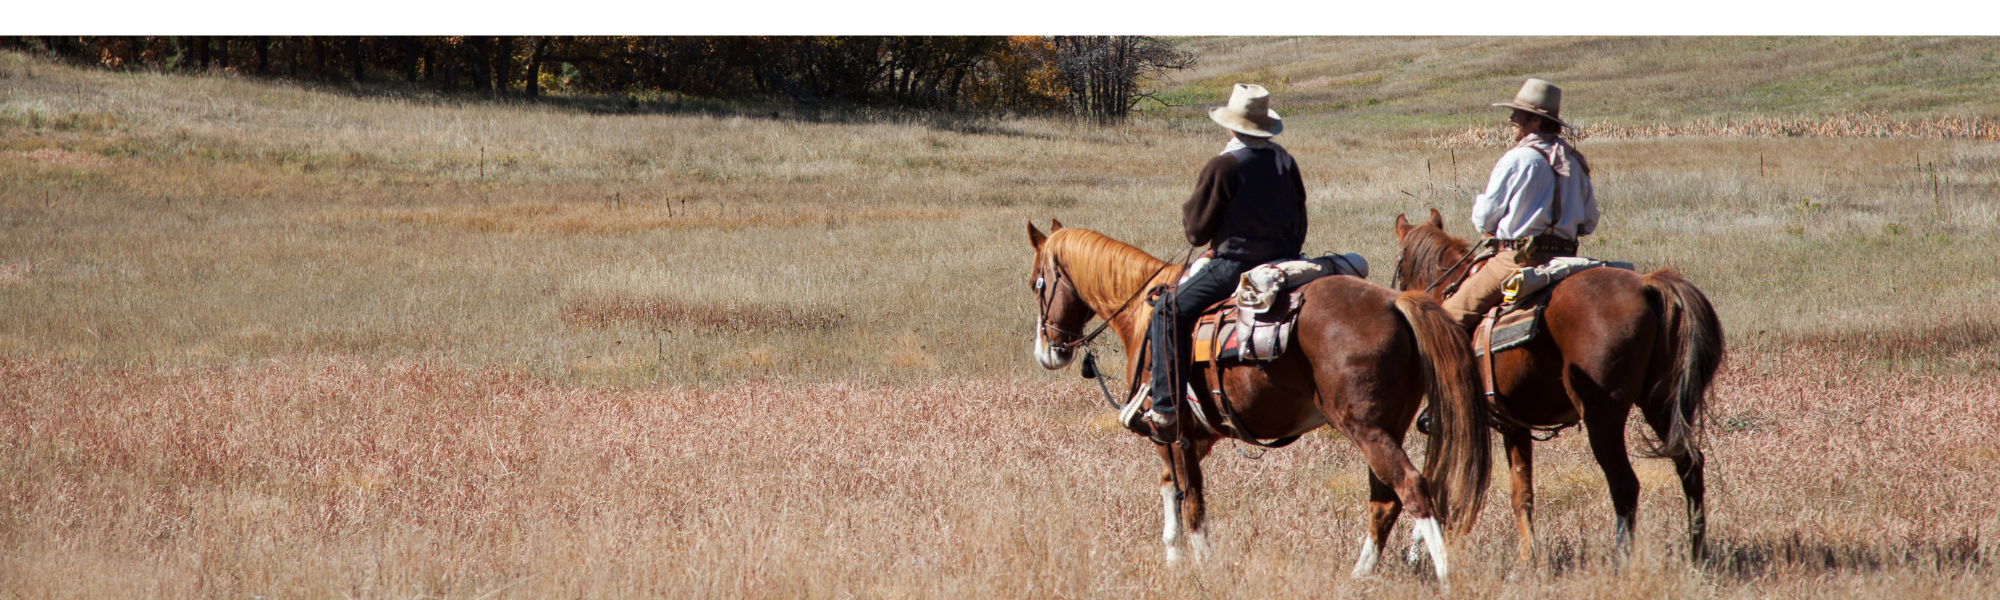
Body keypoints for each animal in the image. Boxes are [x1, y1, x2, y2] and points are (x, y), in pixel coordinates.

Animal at [1032, 221, 1488, 580]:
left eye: (1037, 281)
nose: (1048, 351)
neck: (1143, 317)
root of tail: (1395, 302)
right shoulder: (1191, 438)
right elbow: (1171, 491)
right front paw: (1174, 558)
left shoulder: (1173, 434)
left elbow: (1191, 501)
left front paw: (1201, 563)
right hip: (1387, 427)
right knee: (1385, 498)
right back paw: (1361, 573)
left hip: (1367, 429)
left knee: (1410, 487)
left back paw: (1444, 573)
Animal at [1392, 211, 1720, 568]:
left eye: (1399, 264)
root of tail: (1647, 286)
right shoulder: (1514, 425)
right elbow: (1521, 492)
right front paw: (1527, 557)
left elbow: (1435, 478)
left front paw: (1416, 551)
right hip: (1661, 404)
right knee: (1689, 465)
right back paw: (1698, 553)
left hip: (1603, 417)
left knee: (1624, 484)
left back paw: (1620, 560)